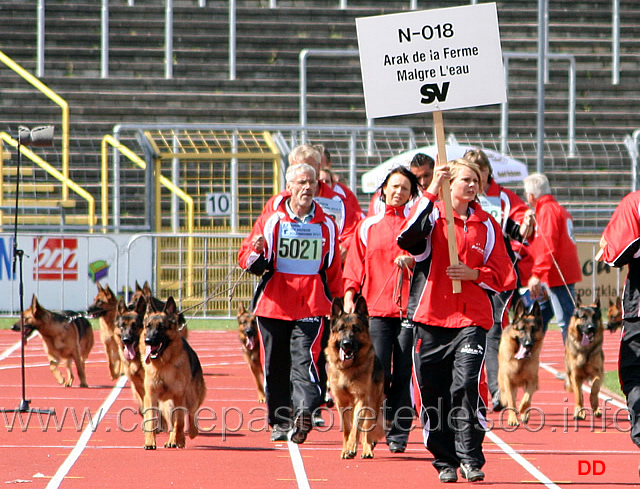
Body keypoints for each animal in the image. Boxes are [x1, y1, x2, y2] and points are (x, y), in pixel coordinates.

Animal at [141, 296, 205, 448]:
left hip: (191, 397)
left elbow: (180, 422)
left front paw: (181, 439)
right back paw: (172, 440)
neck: (163, 364)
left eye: (161, 327)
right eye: (148, 326)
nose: (148, 341)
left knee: (191, 414)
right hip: (167, 405)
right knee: (172, 422)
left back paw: (190, 433)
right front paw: (150, 442)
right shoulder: (150, 397)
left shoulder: (179, 396)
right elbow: (151, 421)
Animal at [324, 296, 384, 460]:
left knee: (367, 428)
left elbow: (357, 427)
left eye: (356, 329)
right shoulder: (342, 403)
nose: (347, 344)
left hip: (372, 403)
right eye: (341, 329)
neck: (347, 369)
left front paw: (352, 448)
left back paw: (367, 450)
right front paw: (346, 449)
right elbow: (347, 429)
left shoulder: (361, 399)